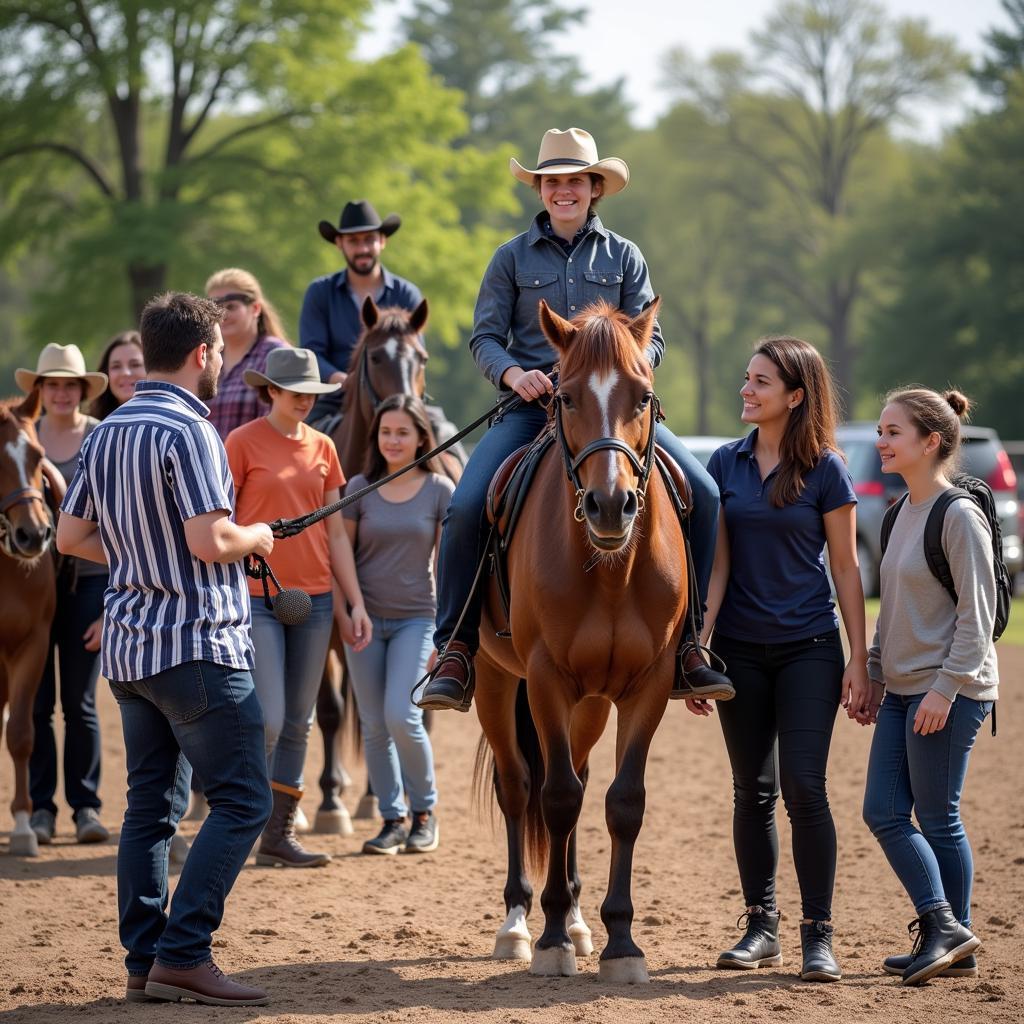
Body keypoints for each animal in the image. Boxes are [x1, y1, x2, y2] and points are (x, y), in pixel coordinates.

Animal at [311, 296, 464, 831]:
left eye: (421, 358)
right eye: (376, 357)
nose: (405, 412)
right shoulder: (329, 626)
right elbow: (332, 709)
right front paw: (329, 801)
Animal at [475, 299, 684, 983]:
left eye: (642, 395)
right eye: (564, 396)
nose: (610, 506)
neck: (609, 571)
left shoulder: (649, 685)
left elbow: (622, 802)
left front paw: (621, 942)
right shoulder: (544, 679)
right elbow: (558, 797)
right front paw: (548, 943)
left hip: (591, 703)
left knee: (583, 777)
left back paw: (574, 918)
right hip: (494, 681)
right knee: (520, 788)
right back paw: (519, 922)